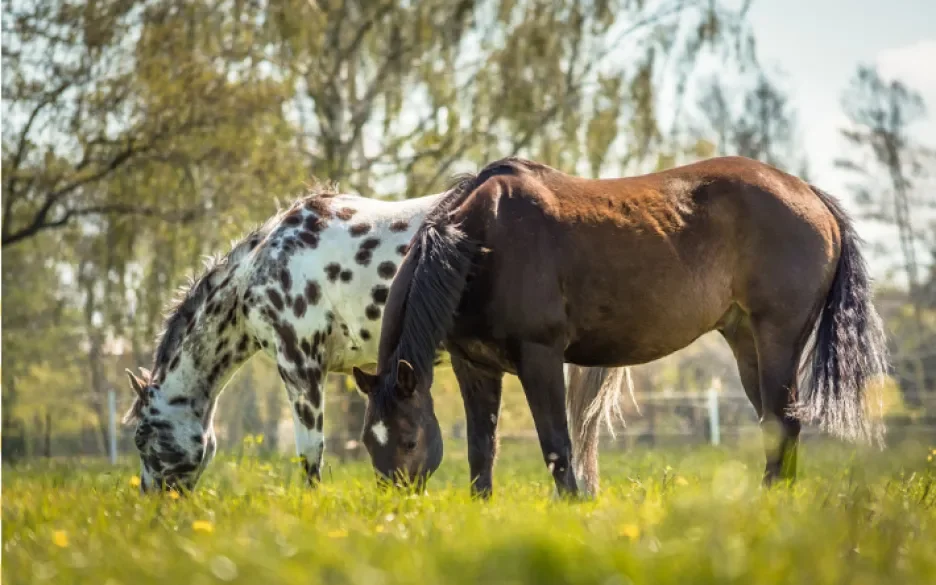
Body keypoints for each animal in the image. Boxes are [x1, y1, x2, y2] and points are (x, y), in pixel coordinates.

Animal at [352, 155, 884, 498]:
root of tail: (809, 194)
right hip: (745, 340)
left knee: (784, 420)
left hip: (778, 337)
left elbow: (557, 445)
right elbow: (482, 449)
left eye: (409, 440)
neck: (481, 243)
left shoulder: (540, 357)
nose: (397, 507)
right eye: (369, 443)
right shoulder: (475, 367)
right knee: (774, 424)